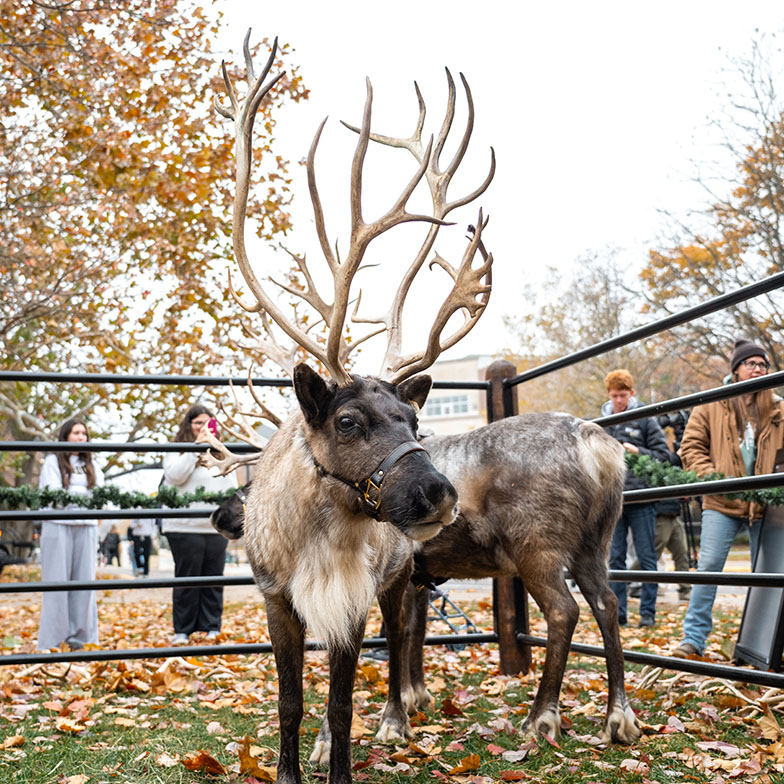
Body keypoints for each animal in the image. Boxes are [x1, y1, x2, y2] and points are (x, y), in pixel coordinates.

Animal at [213, 32, 495, 784]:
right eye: (347, 421)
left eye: (416, 421)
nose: (438, 493)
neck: (323, 536)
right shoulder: (279, 600)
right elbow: (291, 701)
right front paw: (292, 765)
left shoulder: (354, 601)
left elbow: (342, 703)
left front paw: (340, 761)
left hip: (401, 582)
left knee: (402, 642)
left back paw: (399, 715)